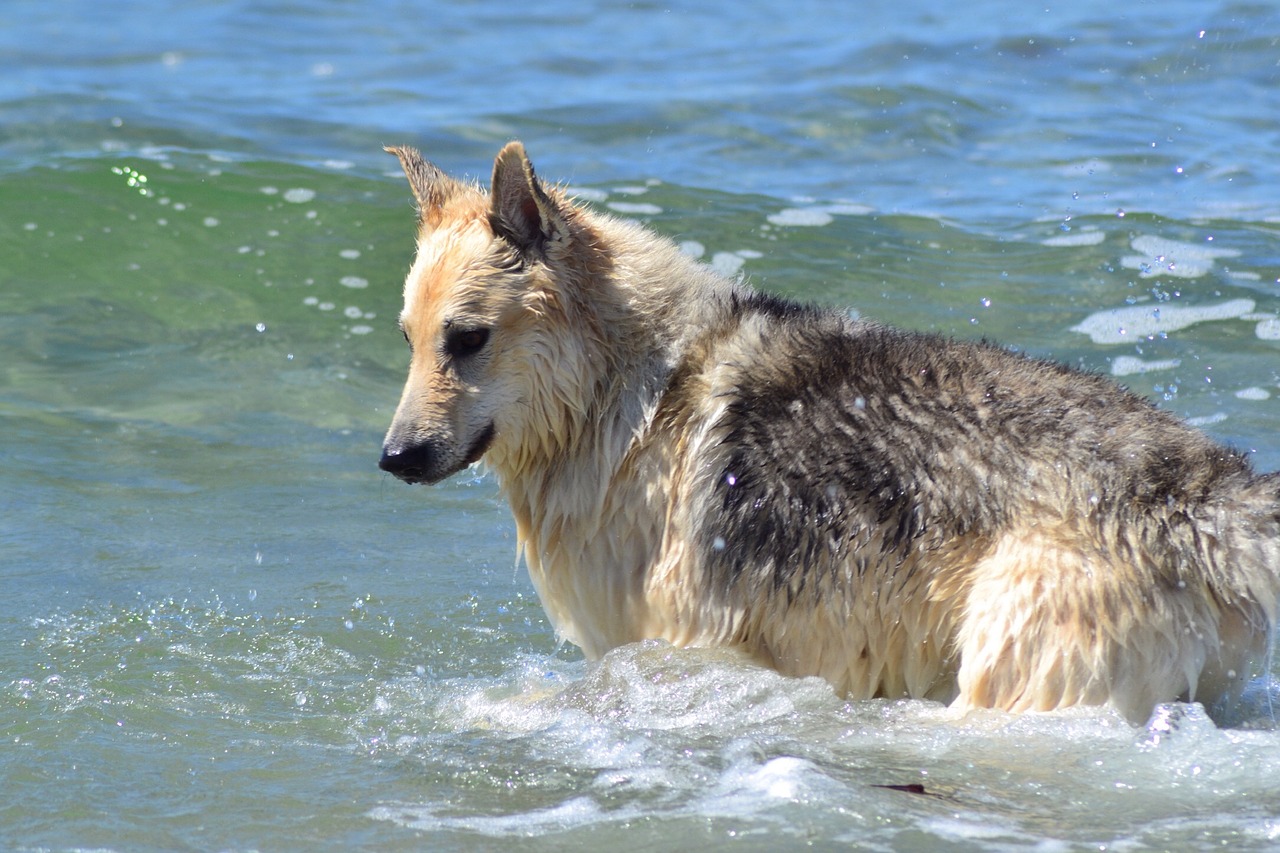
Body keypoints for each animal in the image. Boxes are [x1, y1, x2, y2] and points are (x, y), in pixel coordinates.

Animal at [376, 139, 1280, 717]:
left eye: (468, 339)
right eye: (409, 339)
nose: (391, 459)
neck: (630, 395)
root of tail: (1212, 493)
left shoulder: (677, 647)